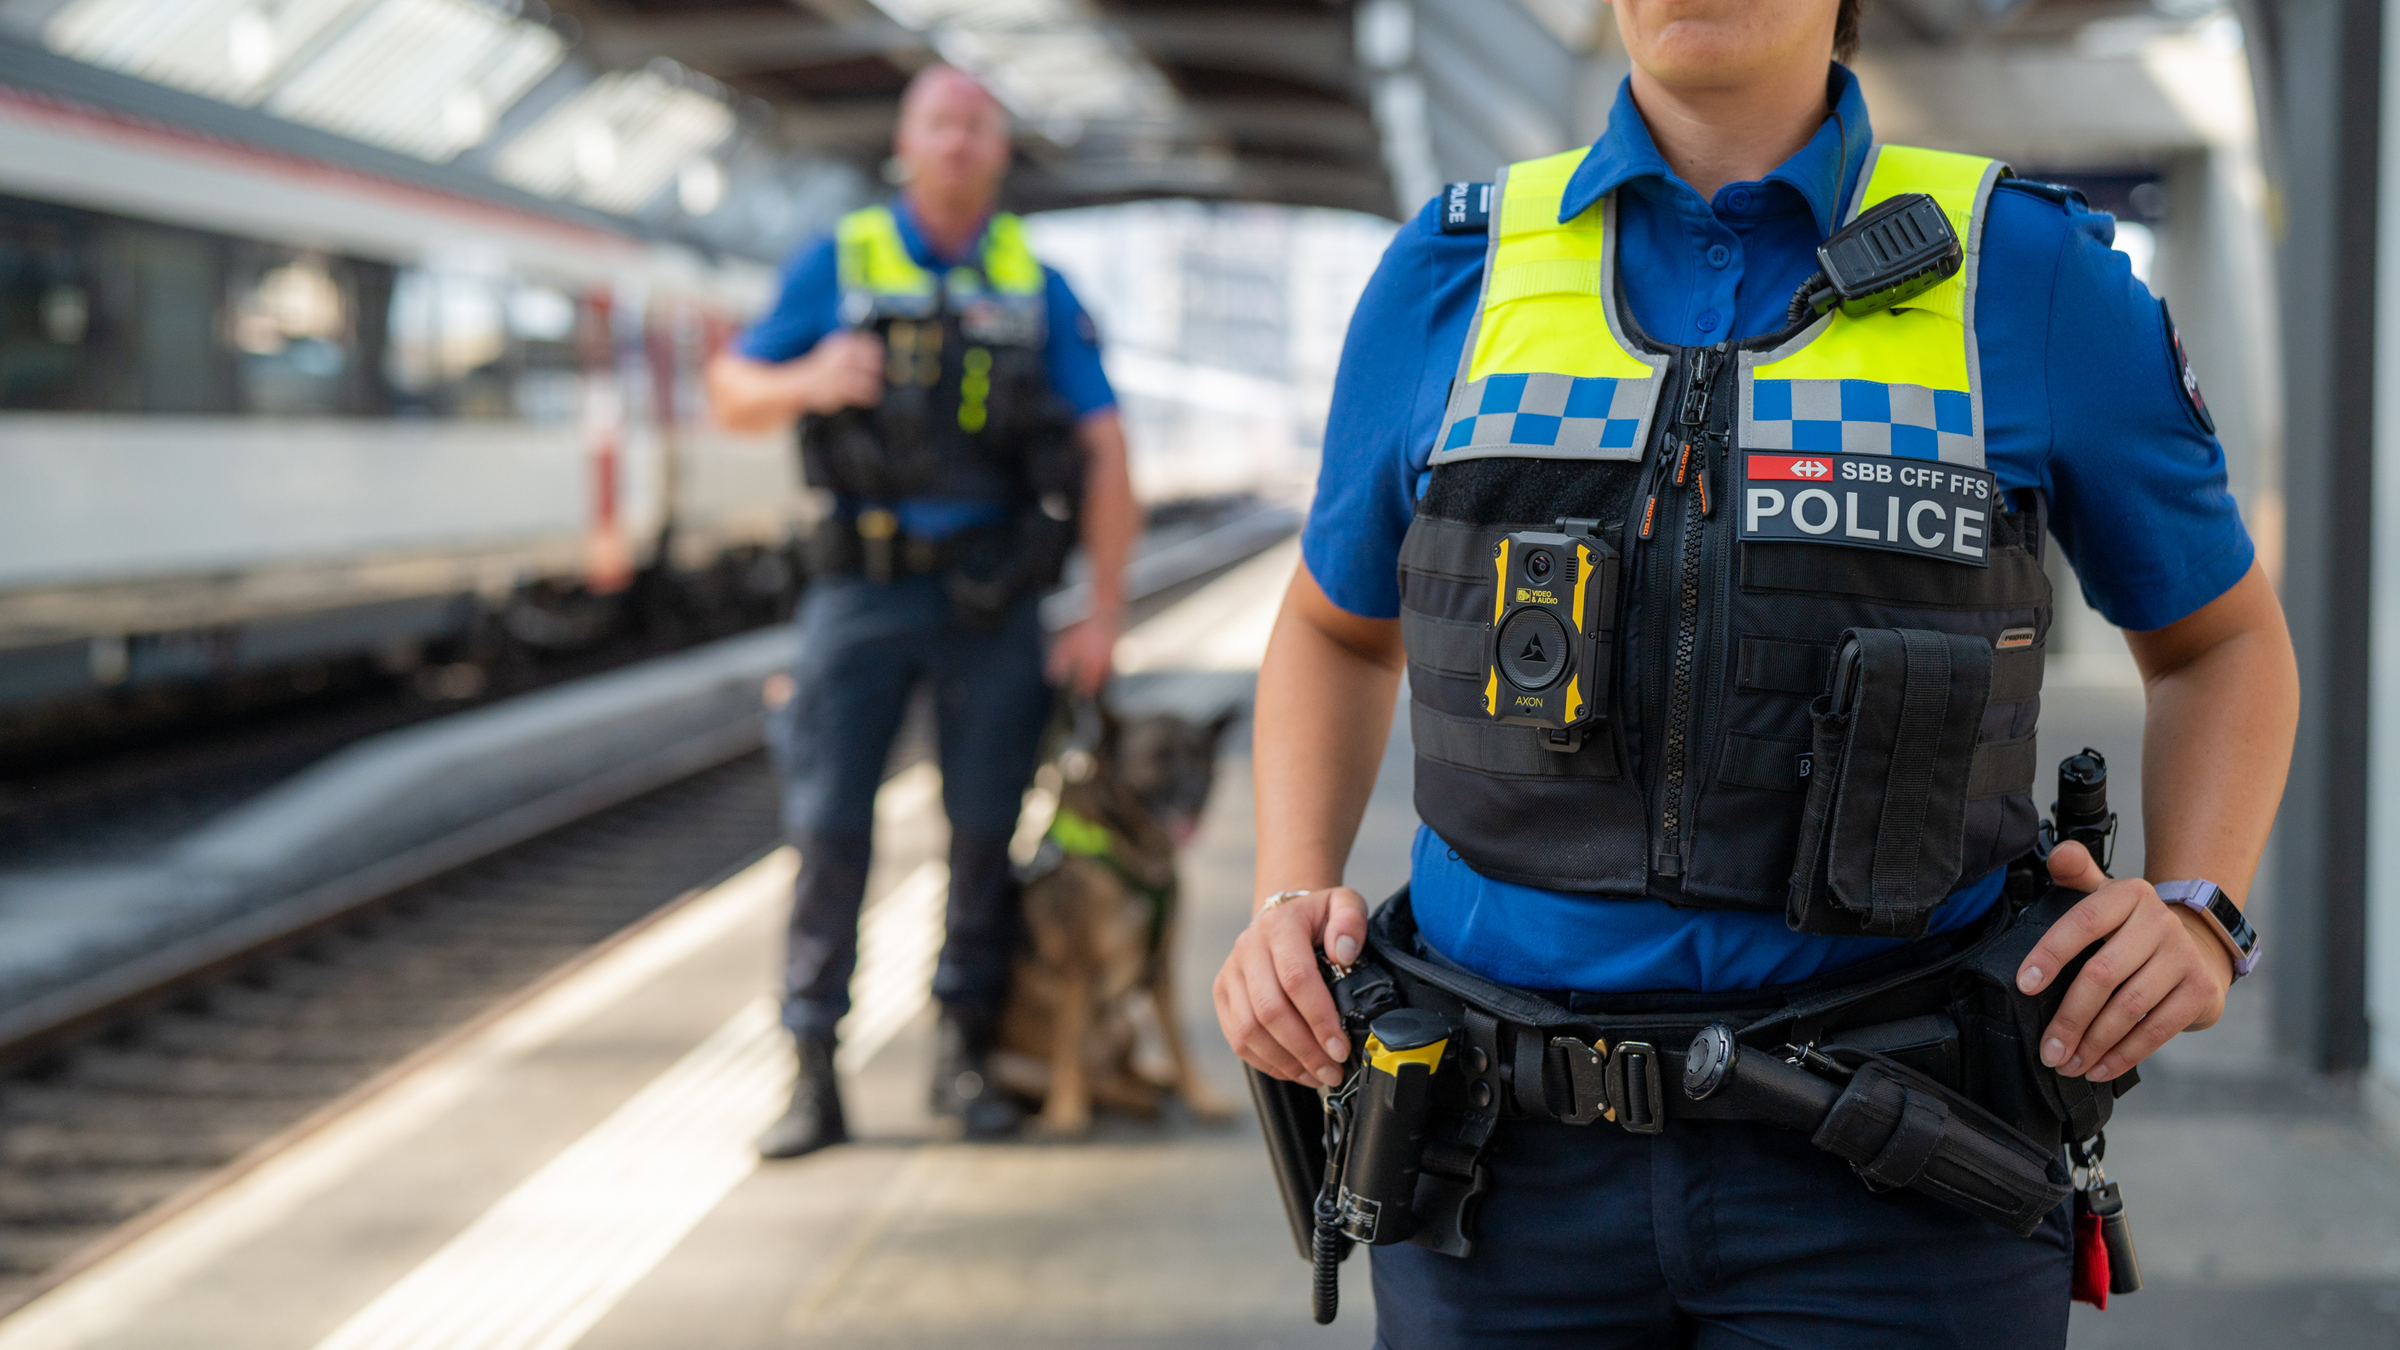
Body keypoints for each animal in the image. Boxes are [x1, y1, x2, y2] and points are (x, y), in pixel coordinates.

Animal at [998, 696, 1248, 1129]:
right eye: (1160, 758)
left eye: (1200, 756)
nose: (1196, 796)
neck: (1133, 849)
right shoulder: (1076, 968)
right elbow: (1069, 1045)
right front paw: (1066, 1114)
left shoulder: (1161, 967)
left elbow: (1179, 1040)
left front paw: (1201, 1098)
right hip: (1020, 1064)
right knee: (1096, 1080)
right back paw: (1137, 1099)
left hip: (1124, 1024)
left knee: (1121, 1070)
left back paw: (1158, 1085)